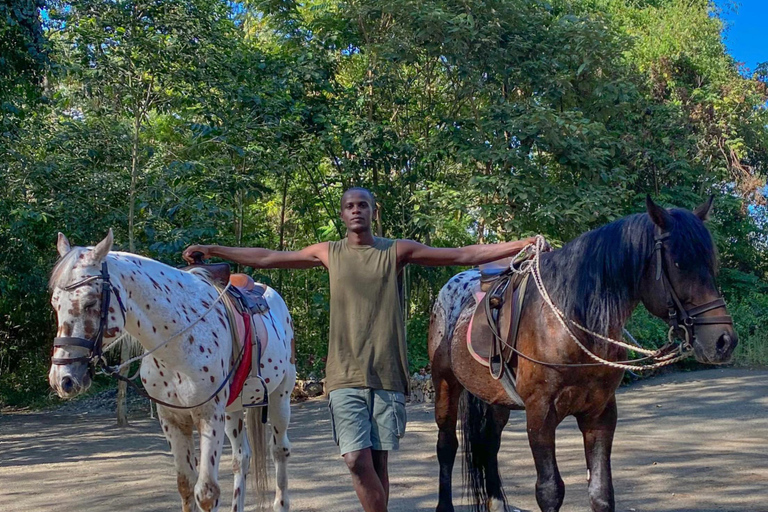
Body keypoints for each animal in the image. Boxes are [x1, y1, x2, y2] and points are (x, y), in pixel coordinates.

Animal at [46, 232, 296, 512]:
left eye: (90, 302)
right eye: (55, 303)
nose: (63, 379)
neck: (178, 341)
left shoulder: (209, 415)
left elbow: (206, 492)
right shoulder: (172, 419)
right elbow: (186, 486)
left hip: (280, 398)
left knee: (280, 451)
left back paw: (281, 502)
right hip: (233, 408)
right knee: (242, 457)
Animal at [432, 197, 736, 512]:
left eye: (710, 264)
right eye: (678, 264)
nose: (724, 341)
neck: (569, 325)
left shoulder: (600, 413)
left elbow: (601, 493)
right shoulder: (540, 414)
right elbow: (550, 491)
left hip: (496, 400)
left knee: (490, 444)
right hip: (445, 384)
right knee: (447, 445)